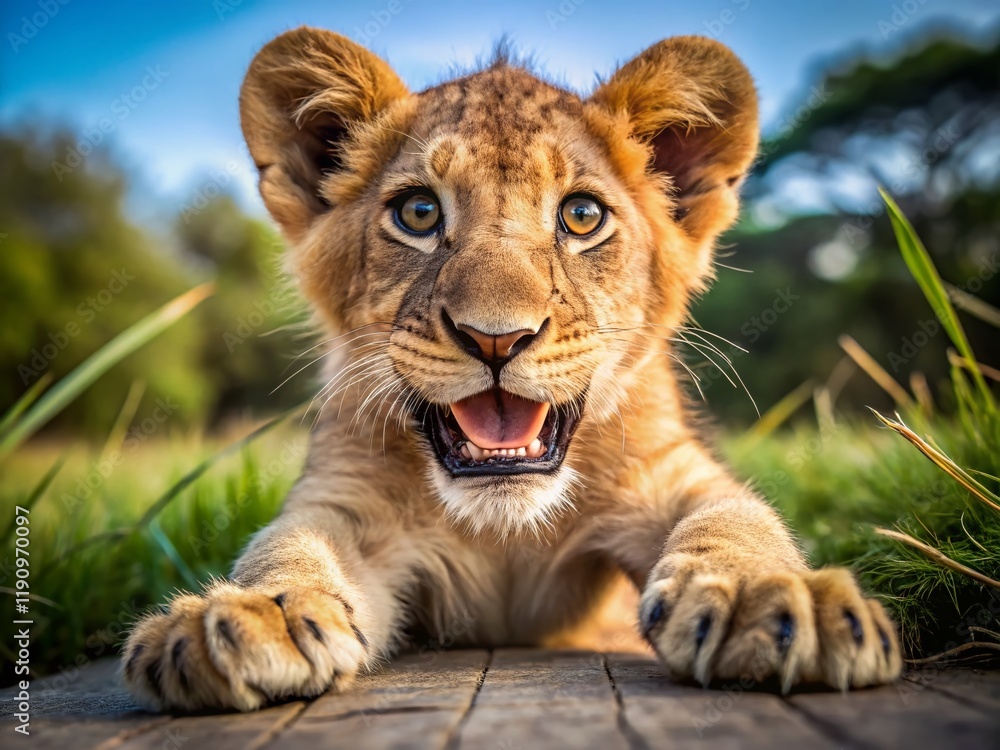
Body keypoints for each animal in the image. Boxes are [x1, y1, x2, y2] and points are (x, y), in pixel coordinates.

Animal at [122, 28, 902, 712]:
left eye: (582, 216)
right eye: (418, 211)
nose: (495, 339)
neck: (503, 531)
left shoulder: (671, 473)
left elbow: (739, 518)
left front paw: (770, 600)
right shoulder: (344, 499)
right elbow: (286, 544)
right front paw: (248, 614)